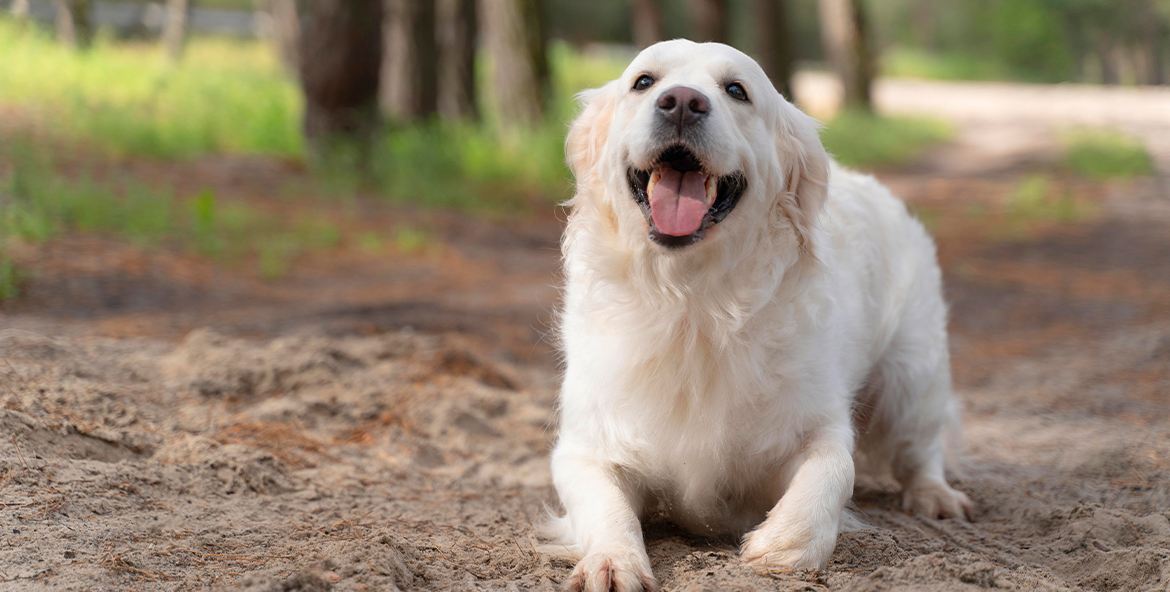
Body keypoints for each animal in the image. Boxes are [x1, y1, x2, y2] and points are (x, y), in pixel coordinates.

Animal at [547, 41, 968, 592]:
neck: (693, 304)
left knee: (923, 448)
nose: (681, 102)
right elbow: (604, 504)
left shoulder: (815, 421)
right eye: (643, 82)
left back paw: (935, 496)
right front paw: (613, 561)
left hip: (912, 376)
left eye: (736, 90)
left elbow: (835, 466)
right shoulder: (586, 444)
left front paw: (784, 543)